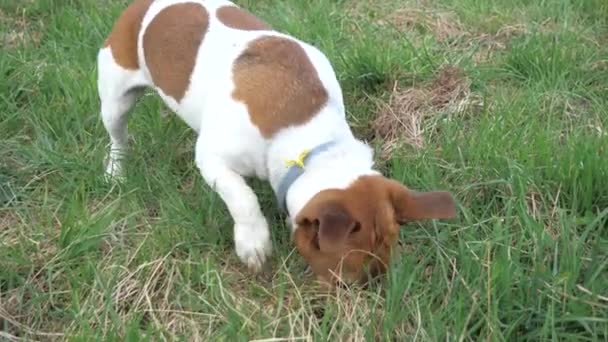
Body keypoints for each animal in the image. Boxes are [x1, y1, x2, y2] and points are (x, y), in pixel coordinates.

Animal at [97, 0, 454, 286]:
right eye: (346, 273)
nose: (371, 286)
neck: (309, 139)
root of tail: (141, 7)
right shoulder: (213, 160)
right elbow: (242, 198)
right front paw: (253, 241)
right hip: (115, 100)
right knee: (117, 135)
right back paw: (116, 169)